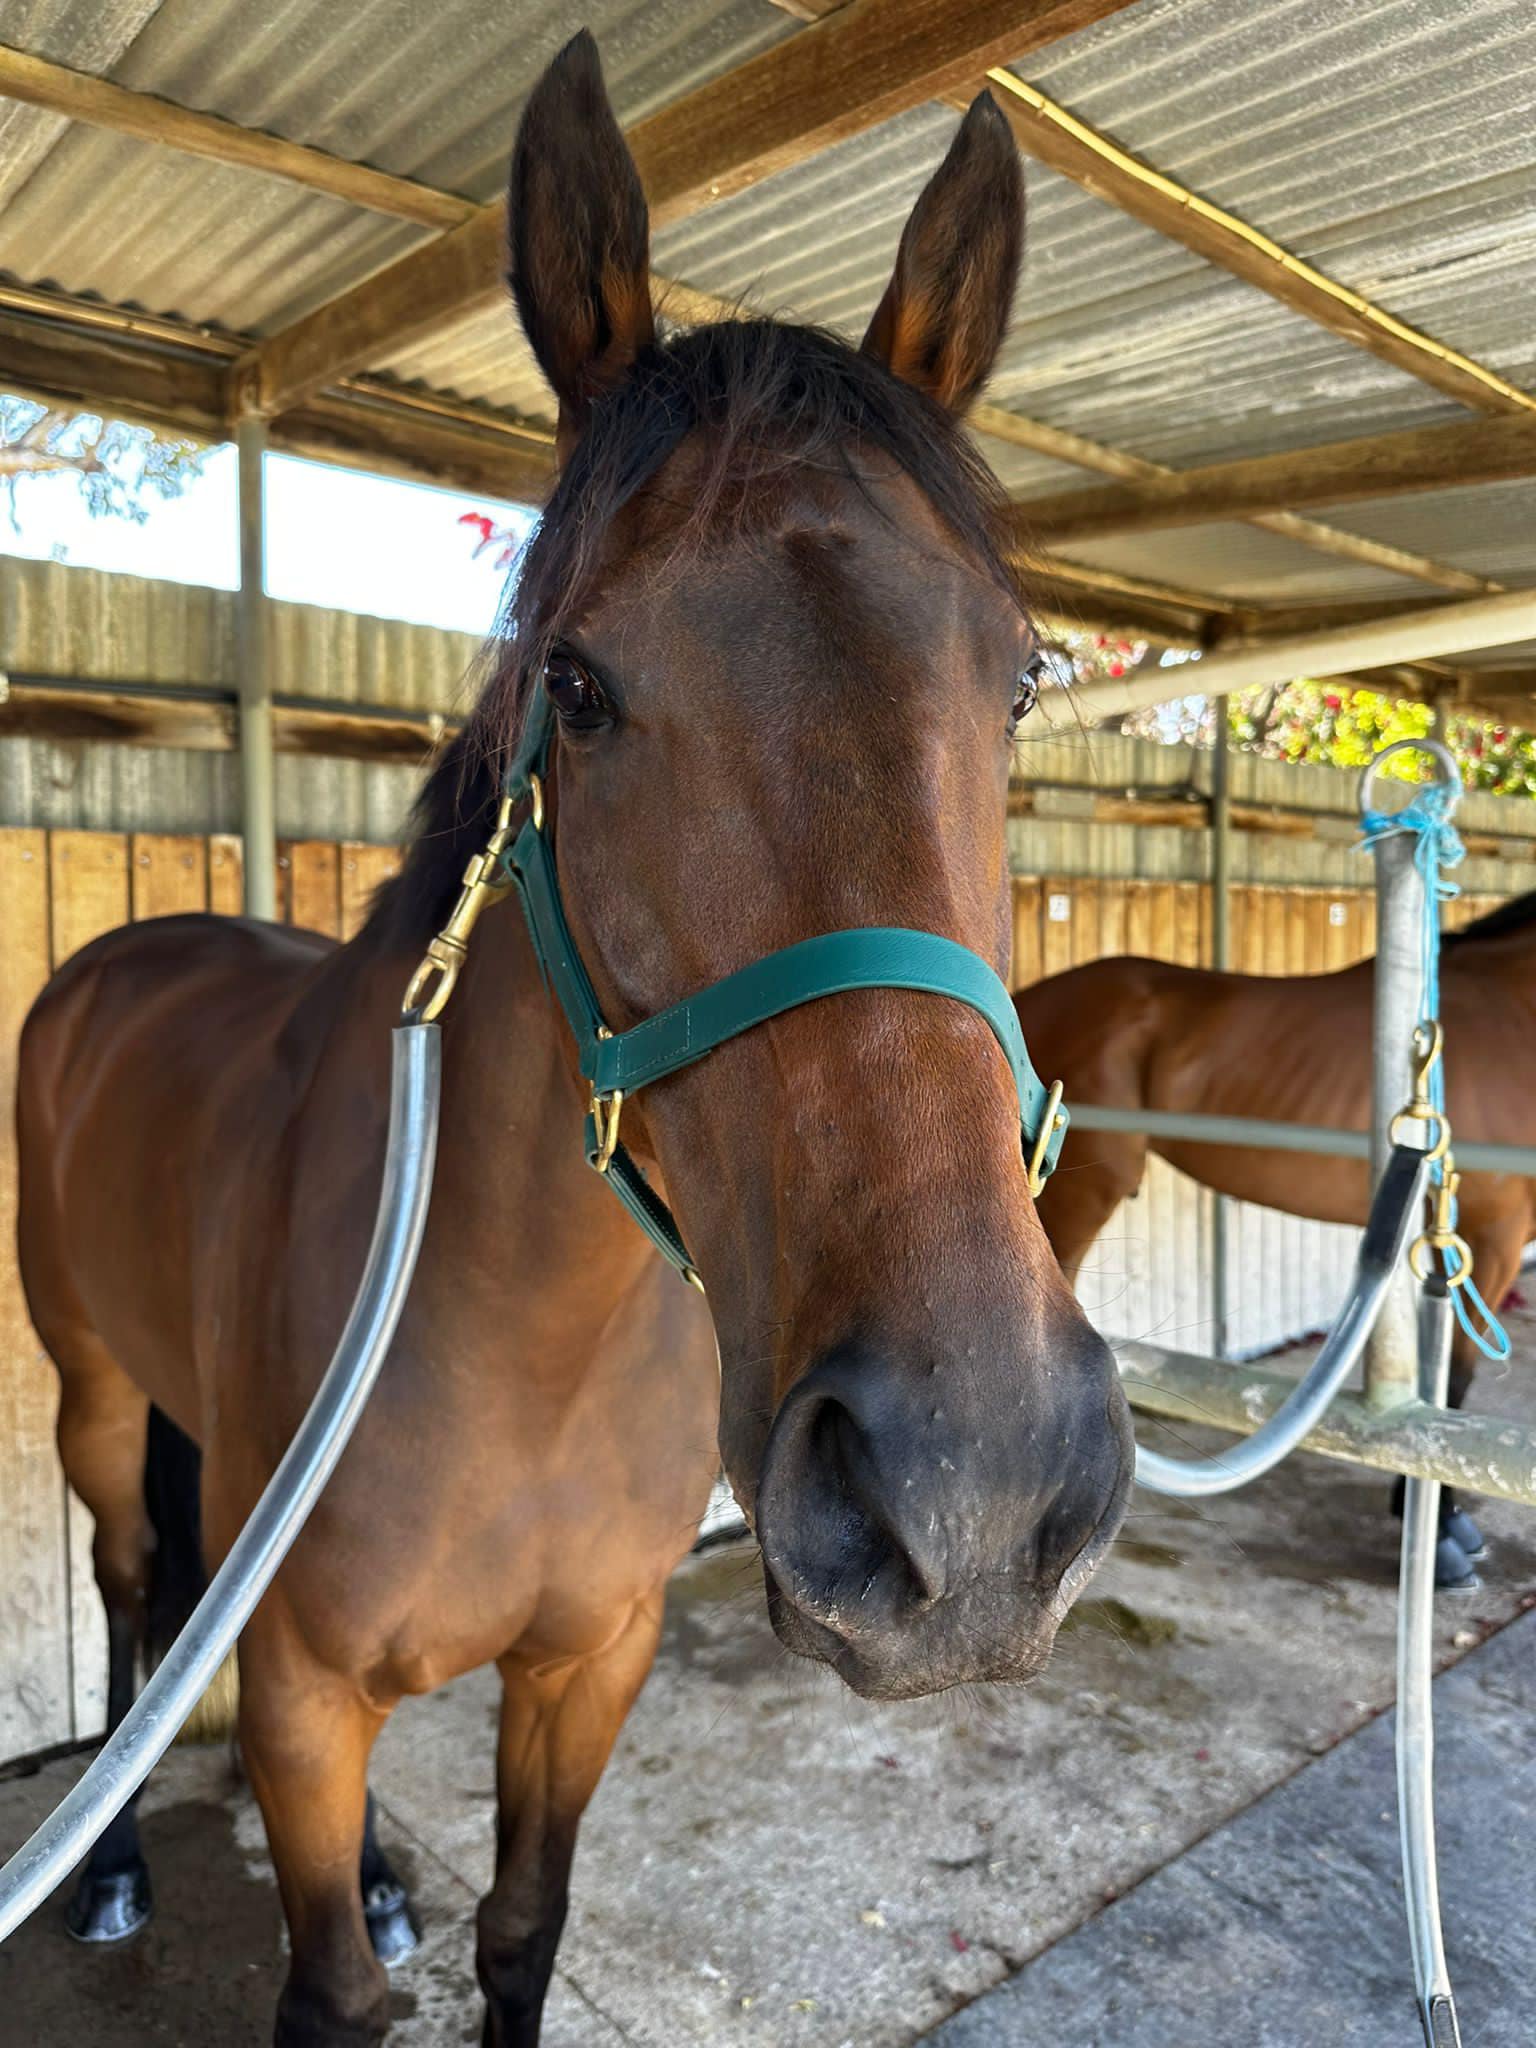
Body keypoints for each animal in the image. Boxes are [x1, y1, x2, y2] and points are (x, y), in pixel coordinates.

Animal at [15, 32, 1130, 2048]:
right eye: (579, 686)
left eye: (1015, 681)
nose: (977, 1481)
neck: (517, 1338)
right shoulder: (301, 1697)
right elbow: (328, 1988)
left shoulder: (589, 1667)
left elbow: (521, 1931)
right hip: (92, 1387)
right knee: (136, 1587)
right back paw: (119, 1860)